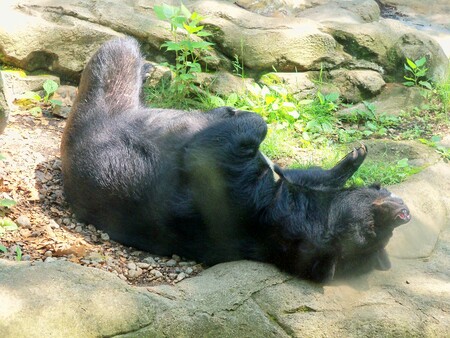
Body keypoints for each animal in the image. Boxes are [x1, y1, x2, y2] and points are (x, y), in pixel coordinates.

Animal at [61, 37, 410, 282]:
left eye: (371, 230)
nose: (404, 213)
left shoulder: (231, 187)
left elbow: (224, 140)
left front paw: (233, 114)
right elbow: (303, 172)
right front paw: (353, 158)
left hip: (101, 103)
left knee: (117, 52)